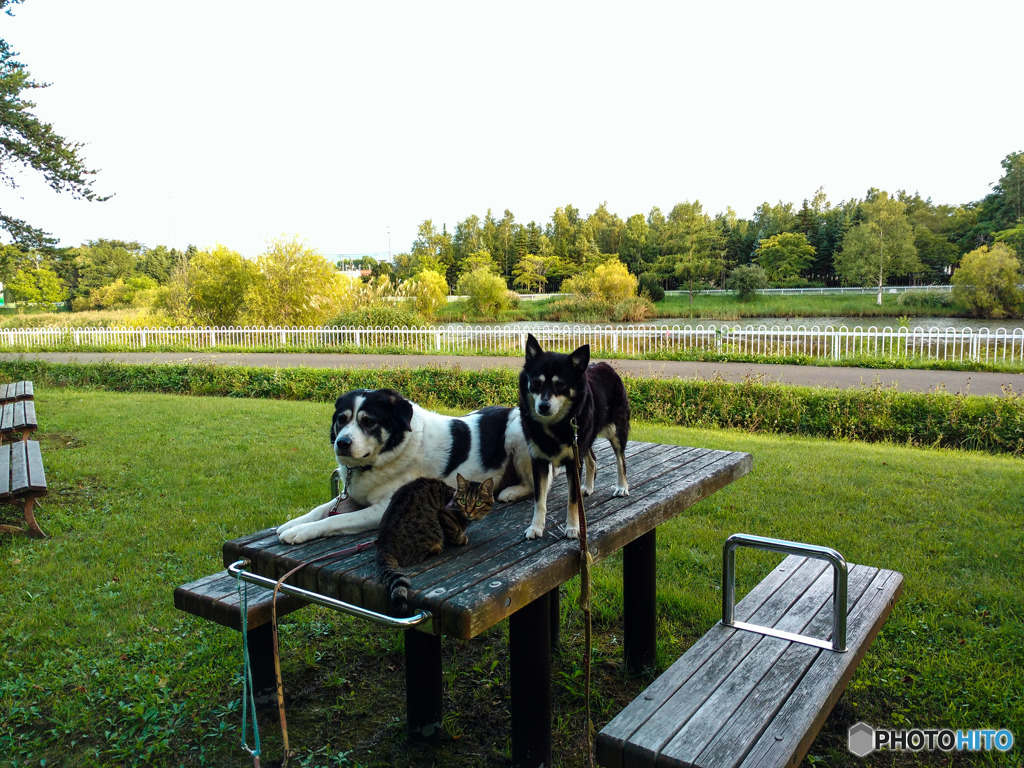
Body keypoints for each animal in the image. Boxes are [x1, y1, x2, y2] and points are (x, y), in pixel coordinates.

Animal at [280, 387, 536, 544]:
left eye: (369, 422)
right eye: (341, 419)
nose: (342, 443)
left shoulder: (383, 508)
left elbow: (335, 519)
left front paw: (301, 532)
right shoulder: (352, 497)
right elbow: (321, 510)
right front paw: (292, 524)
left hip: (517, 436)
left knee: (534, 485)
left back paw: (511, 492)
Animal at [376, 475, 495, 618]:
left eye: (478, 503)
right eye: (463, 501)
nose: (468, 511)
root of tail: (384, 546)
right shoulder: (444, 514)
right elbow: (453, 532)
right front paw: (460, 538)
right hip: (432, 530)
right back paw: (437, 548)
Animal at [520, 335, 630, 540]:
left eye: (560, 385)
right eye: (536, 382)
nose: (543, 406)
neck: (554, 425)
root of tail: (605, 365)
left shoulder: (573, 463)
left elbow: (572, 500)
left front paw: (572, 528)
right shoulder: (539, 462)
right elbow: (539, 500)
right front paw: (536, 527)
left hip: (616, 431)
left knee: (621, 461)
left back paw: (622, 487)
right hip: (583, 439)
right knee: (592, 459)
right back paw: (587, 486)